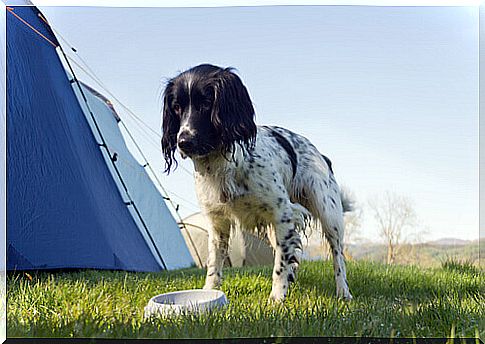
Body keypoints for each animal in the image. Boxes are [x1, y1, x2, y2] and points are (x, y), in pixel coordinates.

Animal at [162, 64, 352, 300]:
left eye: (206, 103)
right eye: (177, 107)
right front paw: (208, 292)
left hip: (328, 213)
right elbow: (215, 263)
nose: (183, 141)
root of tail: (321, 154)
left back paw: (343, 291)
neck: (221, 162)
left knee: (337, 255)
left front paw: (277, 298)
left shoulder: (282, 214)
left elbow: (280, 264)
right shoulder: (217, 223)